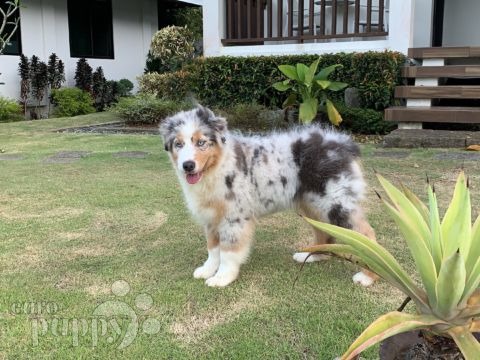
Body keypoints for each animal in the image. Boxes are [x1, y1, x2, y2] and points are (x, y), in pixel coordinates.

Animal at [161, 105, 378, 288]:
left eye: (201, 143)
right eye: (178, 144)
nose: (188, 165)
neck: (216, 167)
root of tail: (344, 143)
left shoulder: (234, 217)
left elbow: (228, 251)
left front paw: (222, 277)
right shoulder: (211, 217)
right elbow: (213, 248)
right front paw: (207, 269)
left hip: (336, 202)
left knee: (366, 234)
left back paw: (368, 276)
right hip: (313, 203)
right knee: (324, 230)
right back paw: (312, 256)